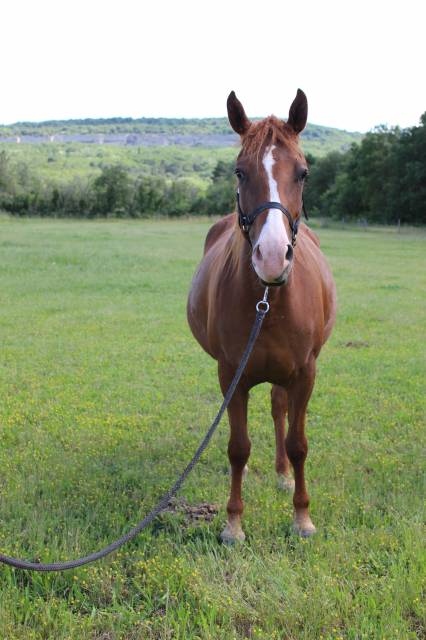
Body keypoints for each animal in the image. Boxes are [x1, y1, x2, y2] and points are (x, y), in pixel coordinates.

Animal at [186, 89, 336, 540]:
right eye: (239, 172)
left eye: (303, 173)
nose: (271, 256)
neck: (269, 303)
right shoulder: (231, 374)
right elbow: (238, 447)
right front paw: (233, 523)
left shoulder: (305, 373)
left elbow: (299, 444)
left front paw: (302, 517)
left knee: (278, 409)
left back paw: (283, 474)